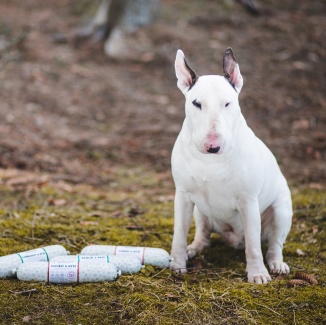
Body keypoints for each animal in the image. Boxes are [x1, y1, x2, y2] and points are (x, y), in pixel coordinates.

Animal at [171, 48, 292, 284]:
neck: (210, 162)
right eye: (196, 103)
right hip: (200, 210)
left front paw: (257, 273)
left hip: (281, 210)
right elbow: (179, 234)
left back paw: (276, 263)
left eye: (228, 103)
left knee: (273, 243)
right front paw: (177, 264)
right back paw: (194, 248)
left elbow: (254, 245)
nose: (213, 147)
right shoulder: (182, 196)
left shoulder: (248, 201)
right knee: (203, 234)